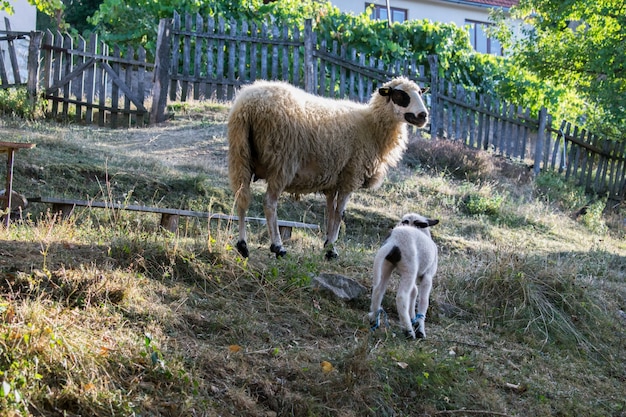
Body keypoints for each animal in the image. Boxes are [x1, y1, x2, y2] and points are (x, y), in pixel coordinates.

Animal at [227, 75, 426, 256]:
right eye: (400, 95)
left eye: (419, 93)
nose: (423, 116)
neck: (371, 125)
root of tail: (250, 105)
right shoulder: (351, 175)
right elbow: (340, 213)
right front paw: (331, 249)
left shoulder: (333, 179)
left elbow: (330, 211)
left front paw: (327, 244)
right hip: (282, 161)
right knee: (269, 202)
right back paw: (278, 246)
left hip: (240, 153)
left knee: (241, 197)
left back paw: (242, 245)